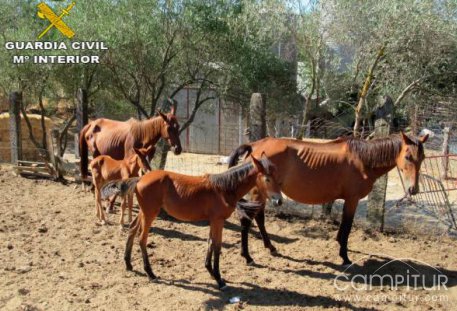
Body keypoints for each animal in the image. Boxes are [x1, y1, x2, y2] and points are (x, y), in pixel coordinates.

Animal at [100, 155, 282, 292]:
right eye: (267, 178)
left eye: (277, 177)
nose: (278, 201)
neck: (223, 188)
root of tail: (139, 179)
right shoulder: (218, 220)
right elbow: (217, 246)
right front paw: (219, 279)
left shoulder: (213, 221)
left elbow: (210, 243)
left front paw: (210, 271)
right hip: (150, 213)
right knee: (142, 239)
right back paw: (151, 274)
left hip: (144, 212)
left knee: (132, 229)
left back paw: (128, 264)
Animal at [228, 132, 428, 266]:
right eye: (408, 156)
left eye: (423, 157)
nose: (413, 189)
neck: (362, 159)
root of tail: (255, 146)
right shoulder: (352, 199)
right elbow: (347, 226)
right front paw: (345, 257)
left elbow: (343, 227)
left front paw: (339, 244)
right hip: (257, 194)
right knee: (247, 221)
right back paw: (247, 256)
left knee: (259, 219)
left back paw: (270, 247)